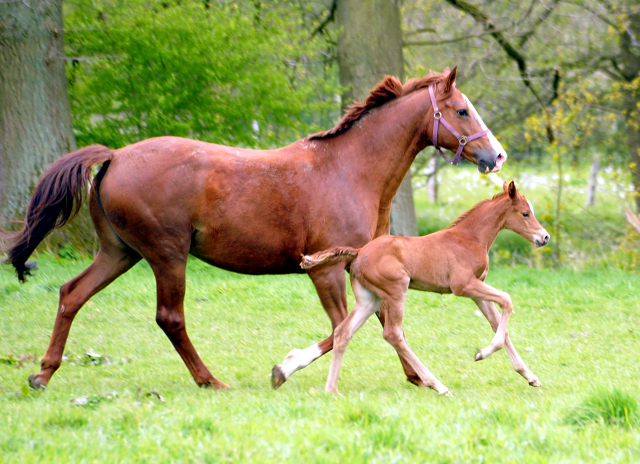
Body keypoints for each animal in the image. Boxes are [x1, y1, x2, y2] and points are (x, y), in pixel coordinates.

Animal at [302, 181, 548, 396]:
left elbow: (498, 324)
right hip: (396, 290)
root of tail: (359, 252)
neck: (469, 238)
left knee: (343, 332)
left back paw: (331, 389)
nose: (544, 237)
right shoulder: (464, 286)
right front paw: (481, 354)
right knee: (393, 334)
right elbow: (506, 300)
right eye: (525, 213)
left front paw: (530, 376)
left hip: (369, 299)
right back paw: (437, 385)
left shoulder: (478, 289)